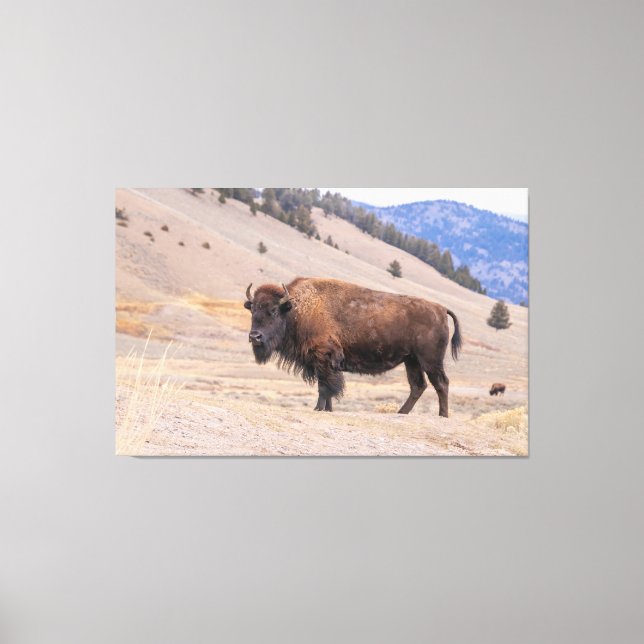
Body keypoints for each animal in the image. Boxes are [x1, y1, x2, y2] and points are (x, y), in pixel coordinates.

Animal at [244, 277, 461, 417]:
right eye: (253, 310)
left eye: (273, 310)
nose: (255, 336)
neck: (296, 309)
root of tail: (441, 309)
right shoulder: (322, 363)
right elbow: (327, 387)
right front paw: (327, 409)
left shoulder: (324, 357)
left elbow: (325, 386)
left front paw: (318, 409)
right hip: (412, 360)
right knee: (418, 386)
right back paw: (402, 413)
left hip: (430, 361)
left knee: (441, 383)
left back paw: (442, 415)